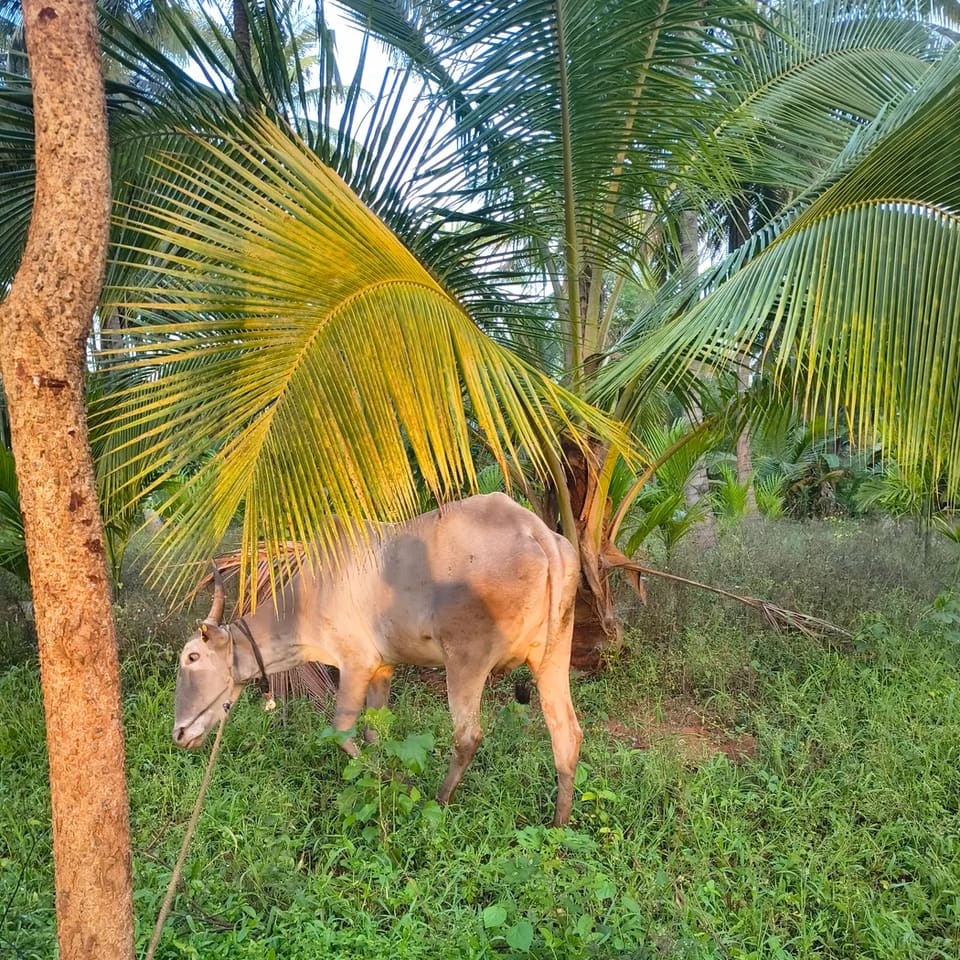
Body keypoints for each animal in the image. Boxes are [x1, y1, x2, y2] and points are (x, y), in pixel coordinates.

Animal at [172, 492, 583, 825]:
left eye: (192, 656)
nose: (179, 733)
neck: (310, 595)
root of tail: (535, 530)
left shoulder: (357, 663)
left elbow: (341, 730)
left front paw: (395, 781)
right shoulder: (384, 667)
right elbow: (375, 732)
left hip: (466, 659)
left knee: (468, 736)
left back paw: (440, 800)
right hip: (553, 653)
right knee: (566, 732)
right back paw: (559, 823)